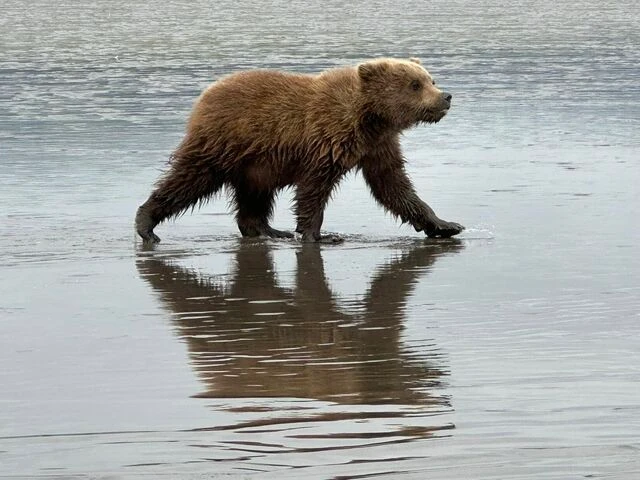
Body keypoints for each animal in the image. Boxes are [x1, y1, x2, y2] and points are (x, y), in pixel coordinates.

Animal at [135, 57, 464, 243]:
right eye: (415, 84)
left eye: (430, 79)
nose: (446, 96)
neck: (369, 118)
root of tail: (205, 95)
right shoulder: (326, 141)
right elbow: (313, 190)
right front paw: (318, 235)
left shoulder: (378, 146)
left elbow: (394, 186)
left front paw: (446, 225)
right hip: (223, 145)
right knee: (188, 180)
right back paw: (147, 224)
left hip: (256, 164)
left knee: (254, 196)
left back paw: (268, 230)